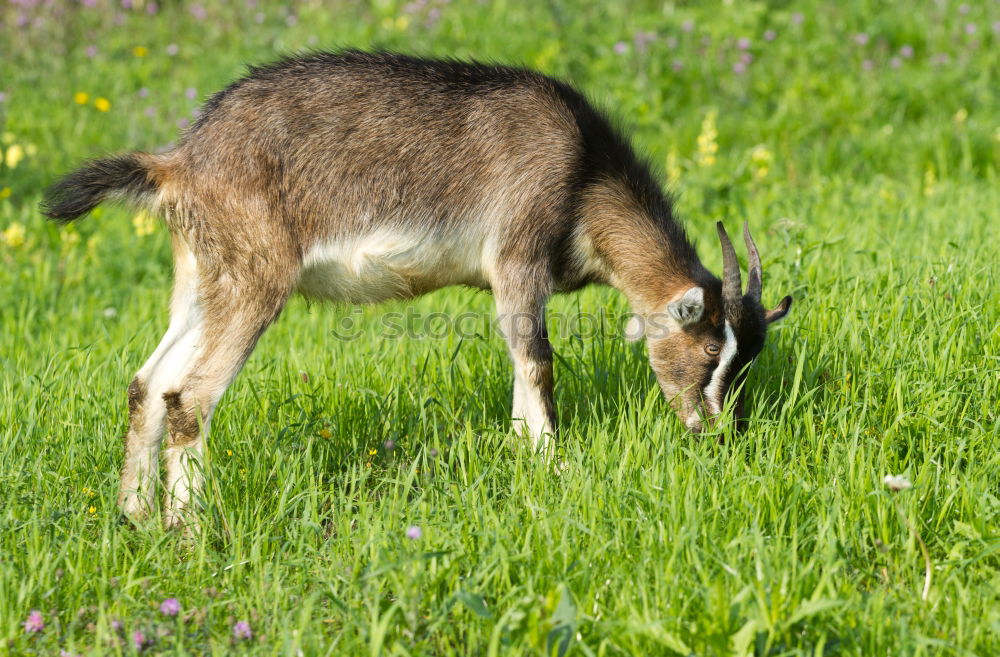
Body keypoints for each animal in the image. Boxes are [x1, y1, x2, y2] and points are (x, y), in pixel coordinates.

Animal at [43, 51, 792, 524]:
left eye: (748, 357)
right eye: (708, 353)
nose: (719, 433)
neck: (585, 174)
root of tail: (179, 161)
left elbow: (518, 367)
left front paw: (524, 459)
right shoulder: (518, 253)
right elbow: (538, 363)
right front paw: (555, 468)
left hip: (202, 276)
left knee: (148, 384)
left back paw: (135, 515)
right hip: (254, 277)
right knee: (189, 396)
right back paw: (192, 531)